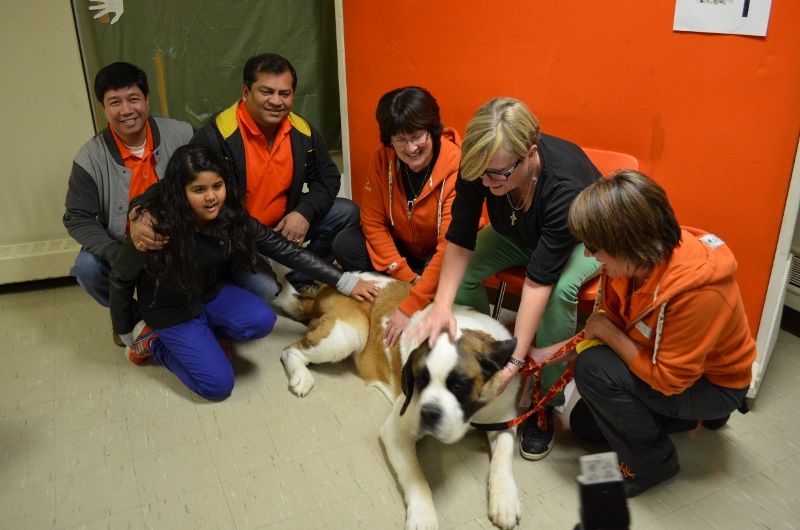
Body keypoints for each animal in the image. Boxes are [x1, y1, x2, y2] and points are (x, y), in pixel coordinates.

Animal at [276, 272, 524, 528]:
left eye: (458, 385)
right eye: (421, 380)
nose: (429, 413)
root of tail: (329, 287)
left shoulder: (504, 416)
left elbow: (503, 455)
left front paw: (505, 500)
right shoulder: (396, 431)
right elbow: (416, 476)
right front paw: (423, 516)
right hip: (347, 335)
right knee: (290, 350)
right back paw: (301, 376)